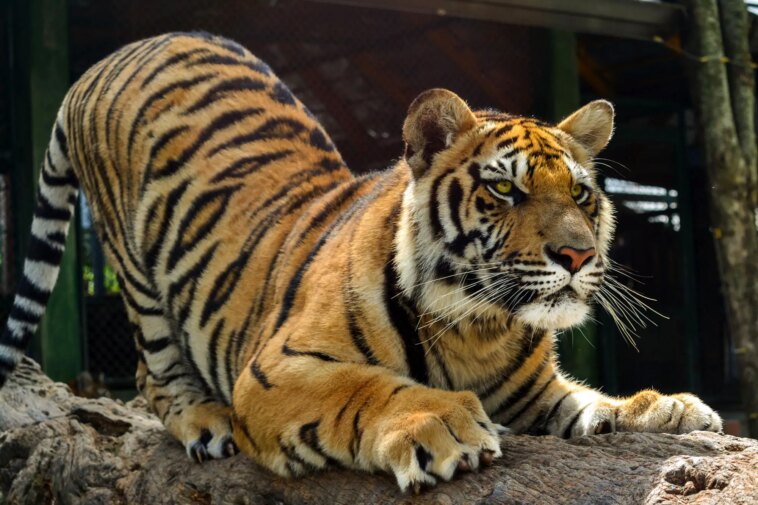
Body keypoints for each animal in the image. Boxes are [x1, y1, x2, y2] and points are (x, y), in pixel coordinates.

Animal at [0, 32, 721, 492]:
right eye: (504, 189)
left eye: (580, 193)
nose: (577, 253)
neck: (481, 327)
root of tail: (106, 60)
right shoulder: (275, 367)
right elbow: (364, 386)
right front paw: (440, 422)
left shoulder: (536, 393)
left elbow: (596, 402)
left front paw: (674, 409)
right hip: (137, 274)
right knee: (153, 377)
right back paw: (205, 421)